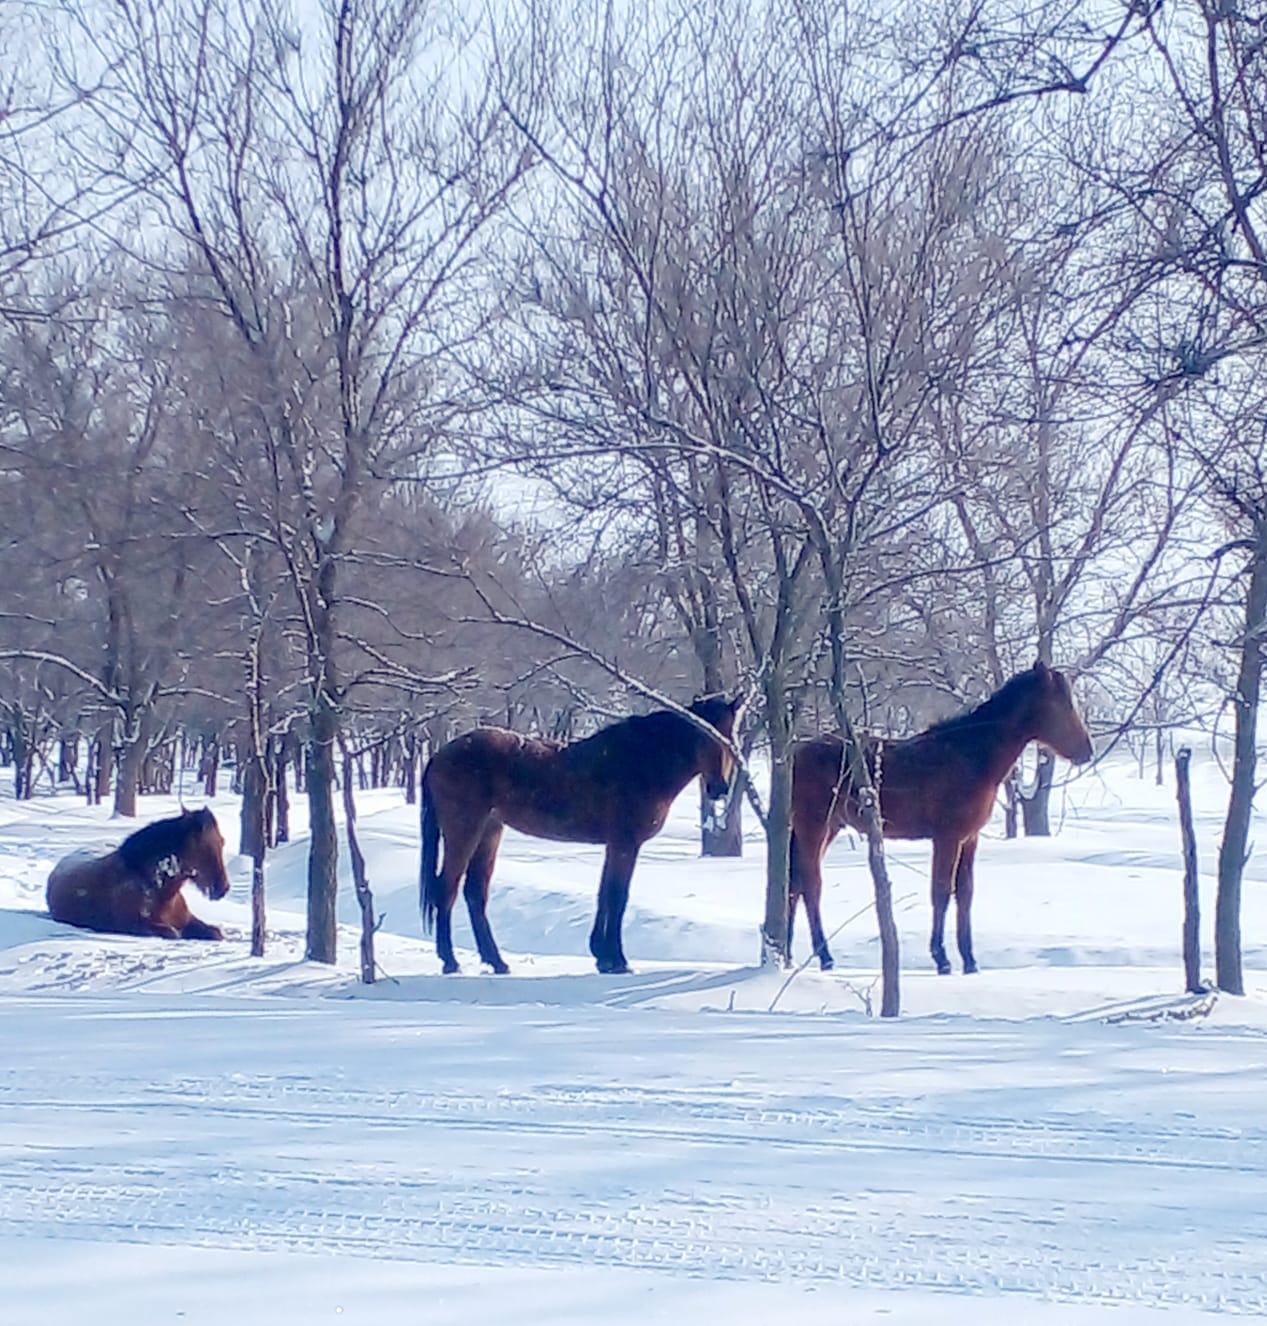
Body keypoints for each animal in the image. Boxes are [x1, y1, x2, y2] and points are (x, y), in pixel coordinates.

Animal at [47, 806, 231, 944]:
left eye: (222, 841)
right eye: (200, 845)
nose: (222, 888)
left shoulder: (189, 919)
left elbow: (215, 933)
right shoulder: (136, 926)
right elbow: (174, 933)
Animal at [424, 694, 742, 975]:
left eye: (731, 738)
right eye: (702, 736)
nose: (719, 788)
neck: (641, 761)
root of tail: (440, 754)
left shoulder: (615, 844)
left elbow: (604, 894)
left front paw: (602, 956)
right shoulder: (626, 844)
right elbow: (617, 896)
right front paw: (617, 960)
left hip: (490, 832)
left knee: (475, 893)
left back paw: (497, 962)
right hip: (464, 830)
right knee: (447, 888)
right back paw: (450, 961)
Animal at [784, 663, 1092, 975]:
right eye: (1060, 704)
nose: (1087, 751)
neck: (971, 755)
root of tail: (795, 754)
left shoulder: (969, 839)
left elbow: (965, 894)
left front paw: (969, 961)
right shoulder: (947, 838)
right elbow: (942, 892)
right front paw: (941, 958)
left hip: (828, 828)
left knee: (794, 885)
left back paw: (786, 954)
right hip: (814, 827)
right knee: (810, 886)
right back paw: (824, 957)